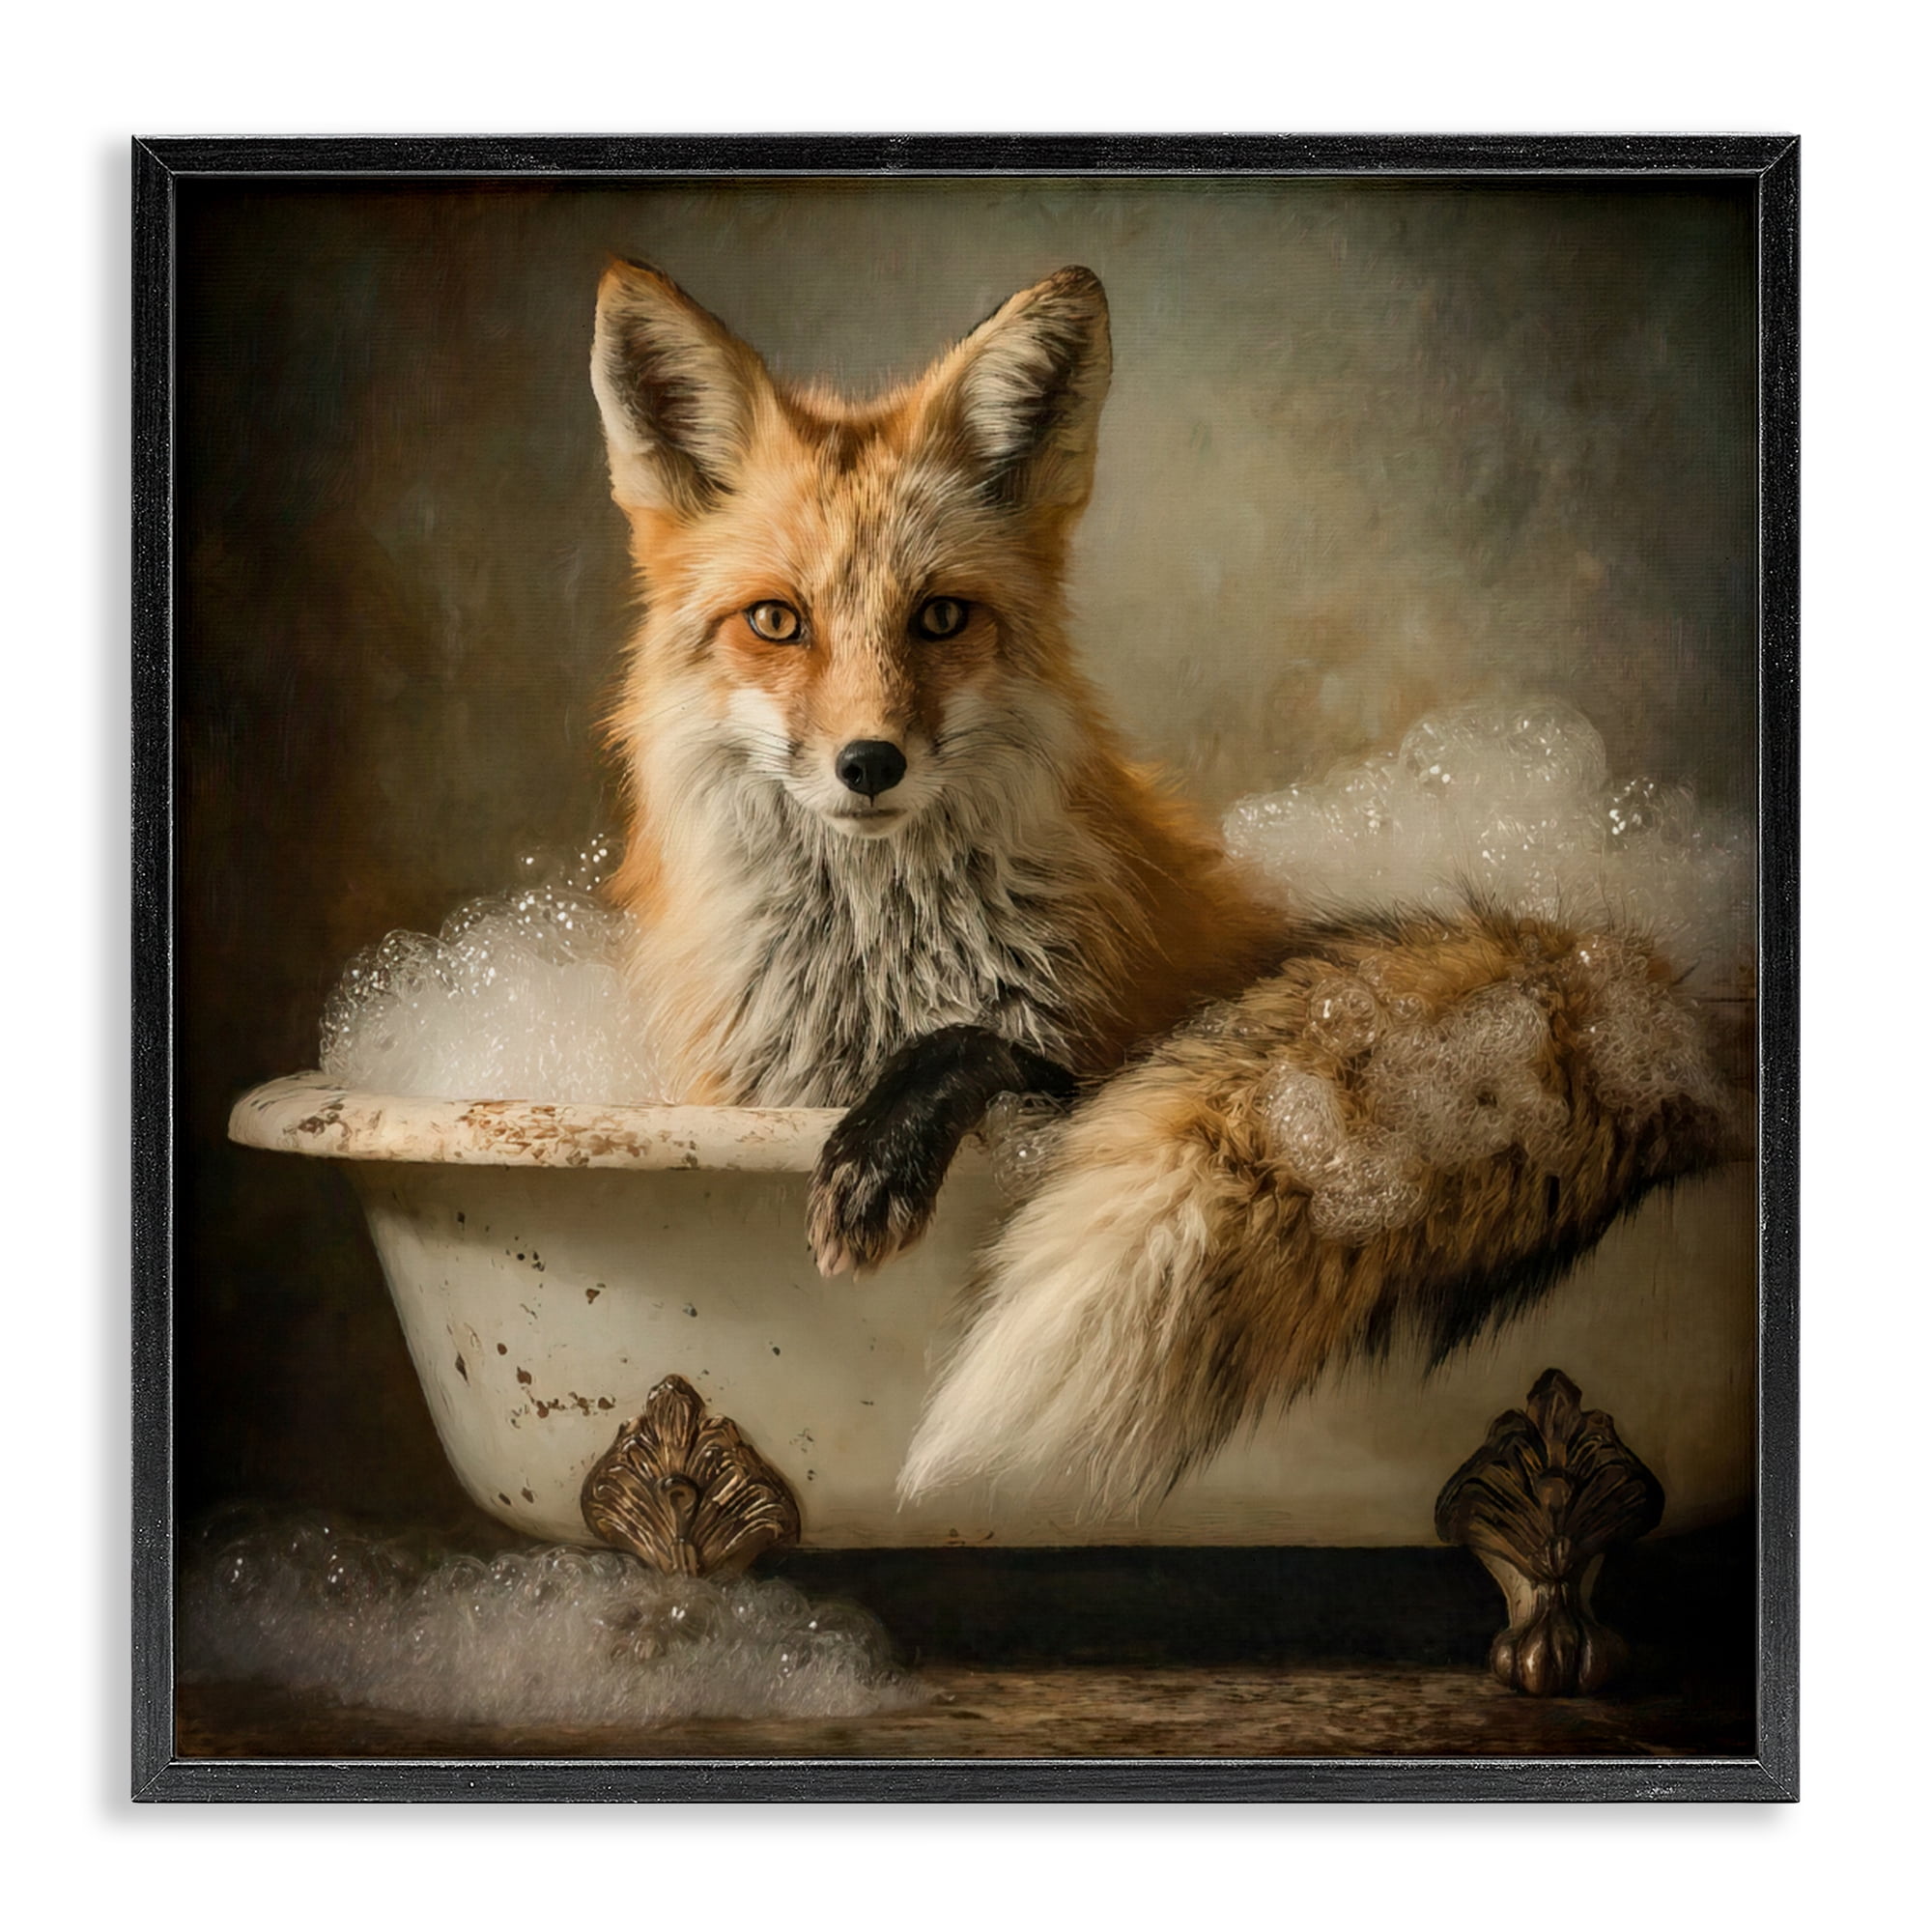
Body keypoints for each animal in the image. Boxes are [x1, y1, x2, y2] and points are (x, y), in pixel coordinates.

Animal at [590, 258, 1741, 1513]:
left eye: (939, 616)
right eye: (775, 621)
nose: (868, 763)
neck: (877, 971)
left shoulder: (1094, 1047)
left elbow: (973, 1040)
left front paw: (879, 1152)